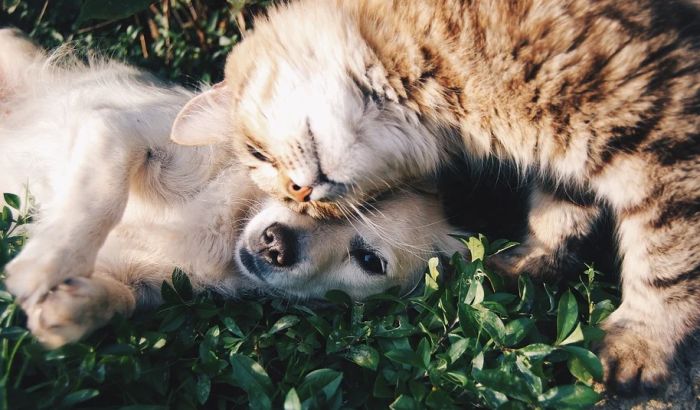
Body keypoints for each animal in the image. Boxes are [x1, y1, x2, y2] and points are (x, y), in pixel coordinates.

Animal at [1, 28, 470, 348]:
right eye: (298, 188)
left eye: (370, 261)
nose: (276, 244)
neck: (224, 228)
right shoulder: (118, 129)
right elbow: (100, 199)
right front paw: (44, 264)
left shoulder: (146, 281)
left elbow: (123, 300)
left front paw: (71, 308)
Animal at [171, 0, 700, 394]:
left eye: (258, 154)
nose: (300, 193)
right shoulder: (570, 156)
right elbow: (559, 215)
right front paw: (527, 263)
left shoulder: (662, 137)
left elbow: (666, 262)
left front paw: (641, 344)